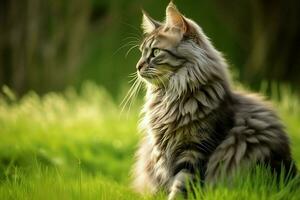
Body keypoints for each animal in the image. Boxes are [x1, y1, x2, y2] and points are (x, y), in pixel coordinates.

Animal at [131, 1, 296, 200]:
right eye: (141, 53)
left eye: (155, 52)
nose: (138, 66)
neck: (170, 96)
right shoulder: (163, 153)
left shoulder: (197, 148)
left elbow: (181, 184)